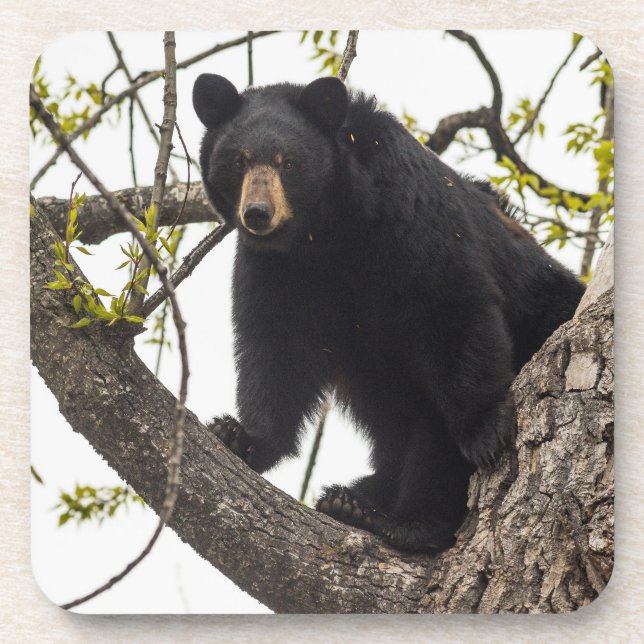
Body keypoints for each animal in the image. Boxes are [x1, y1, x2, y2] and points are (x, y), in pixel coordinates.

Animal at [192, 74, 585, 552]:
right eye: (239, 160)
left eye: (288, 163)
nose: (257, 214)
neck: (327, 234)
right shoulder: (279, 269)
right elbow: (277, 347)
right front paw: (241, 435)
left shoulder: (410, 217)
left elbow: (452, 307)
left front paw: (485, 430)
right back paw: (353, 500)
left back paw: (405, 520)